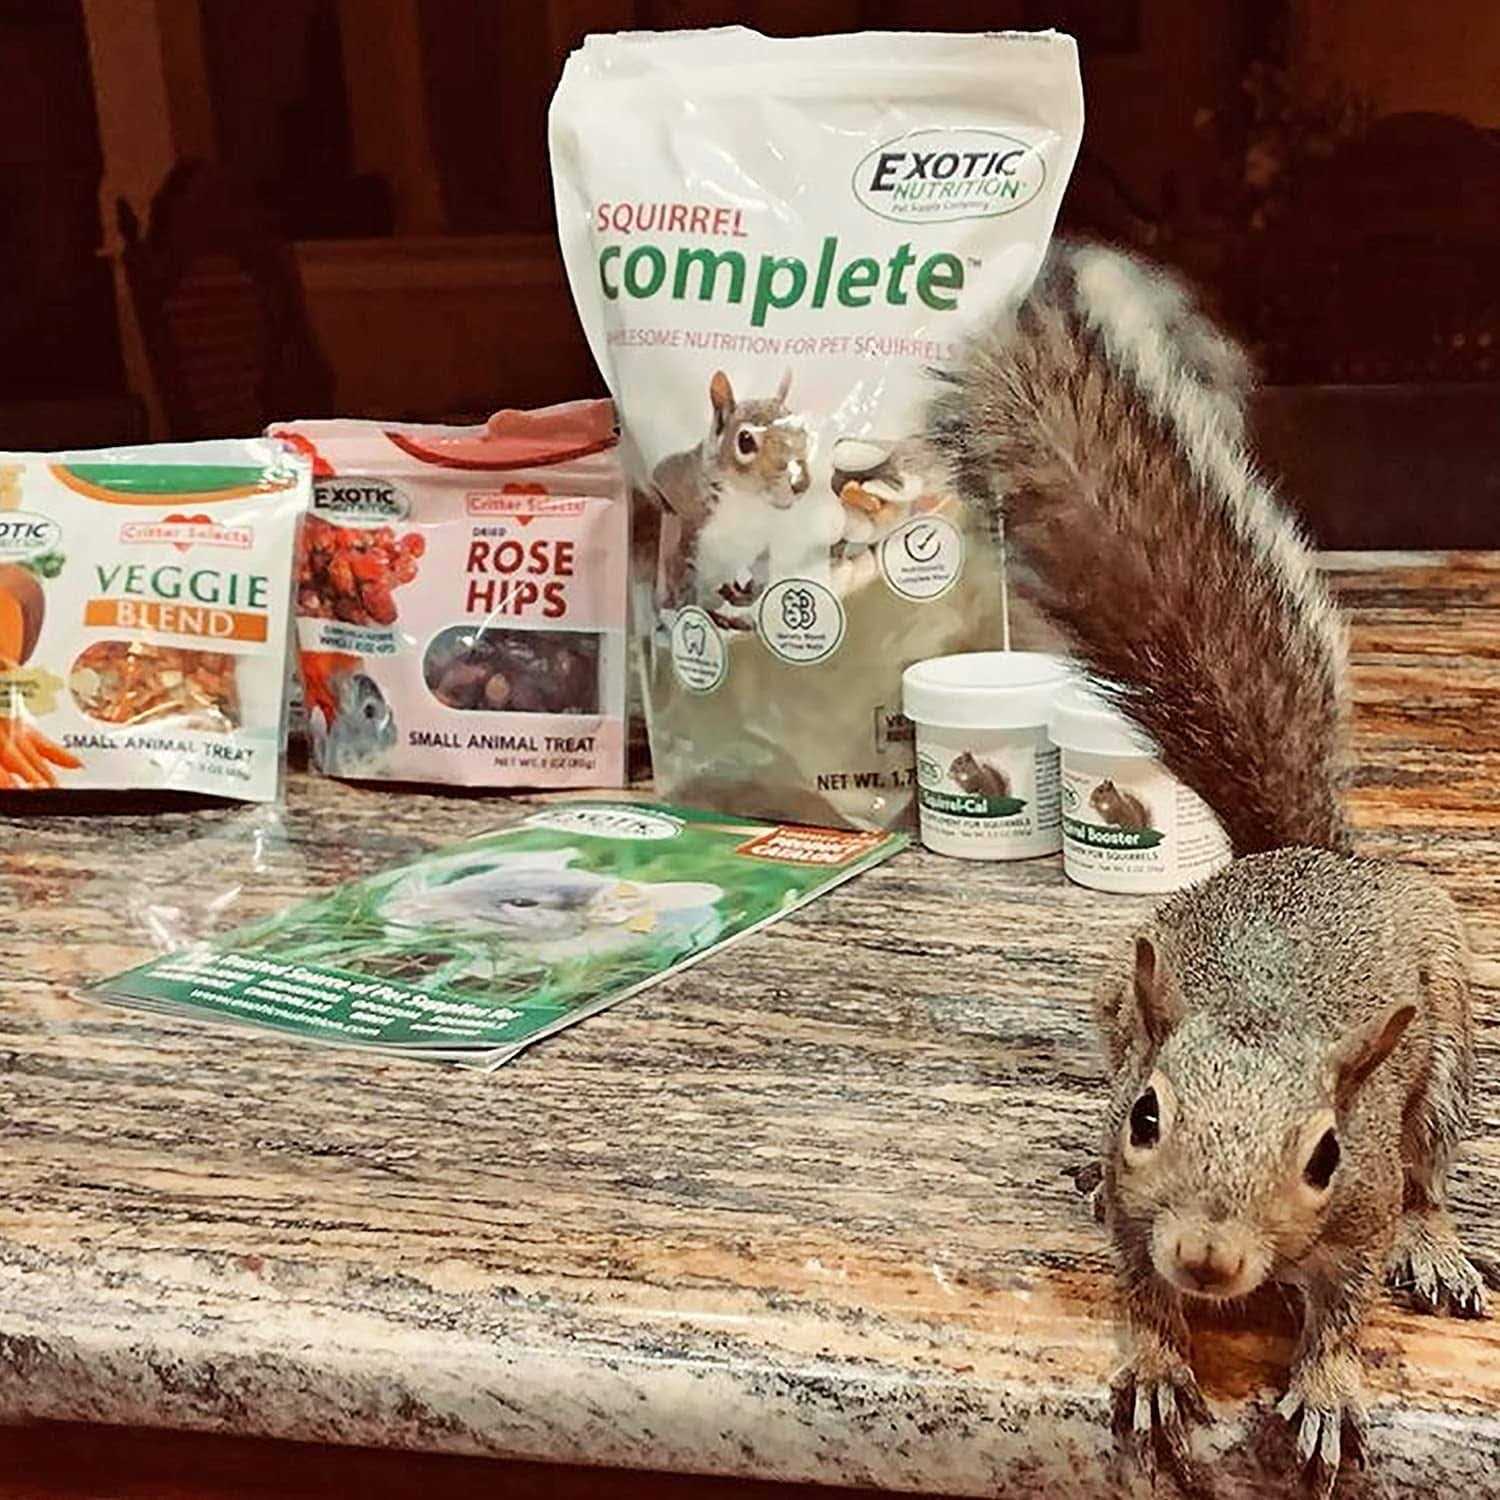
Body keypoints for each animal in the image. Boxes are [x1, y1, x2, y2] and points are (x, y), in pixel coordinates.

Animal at [929, 240, 1487, 1498]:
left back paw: (1439, 1244)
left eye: (1325, 1154)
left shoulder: (1358, 1204)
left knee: (1432, 1165)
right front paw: (1152, 1360)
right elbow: (1135, 1287)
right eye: (1144, 1116)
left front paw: (1326, 1388)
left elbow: (1346, 1304)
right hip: (1112, 988)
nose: (1208, 1254)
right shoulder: (1137, 1198)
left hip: (1451, 1044)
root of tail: (1301, 852)